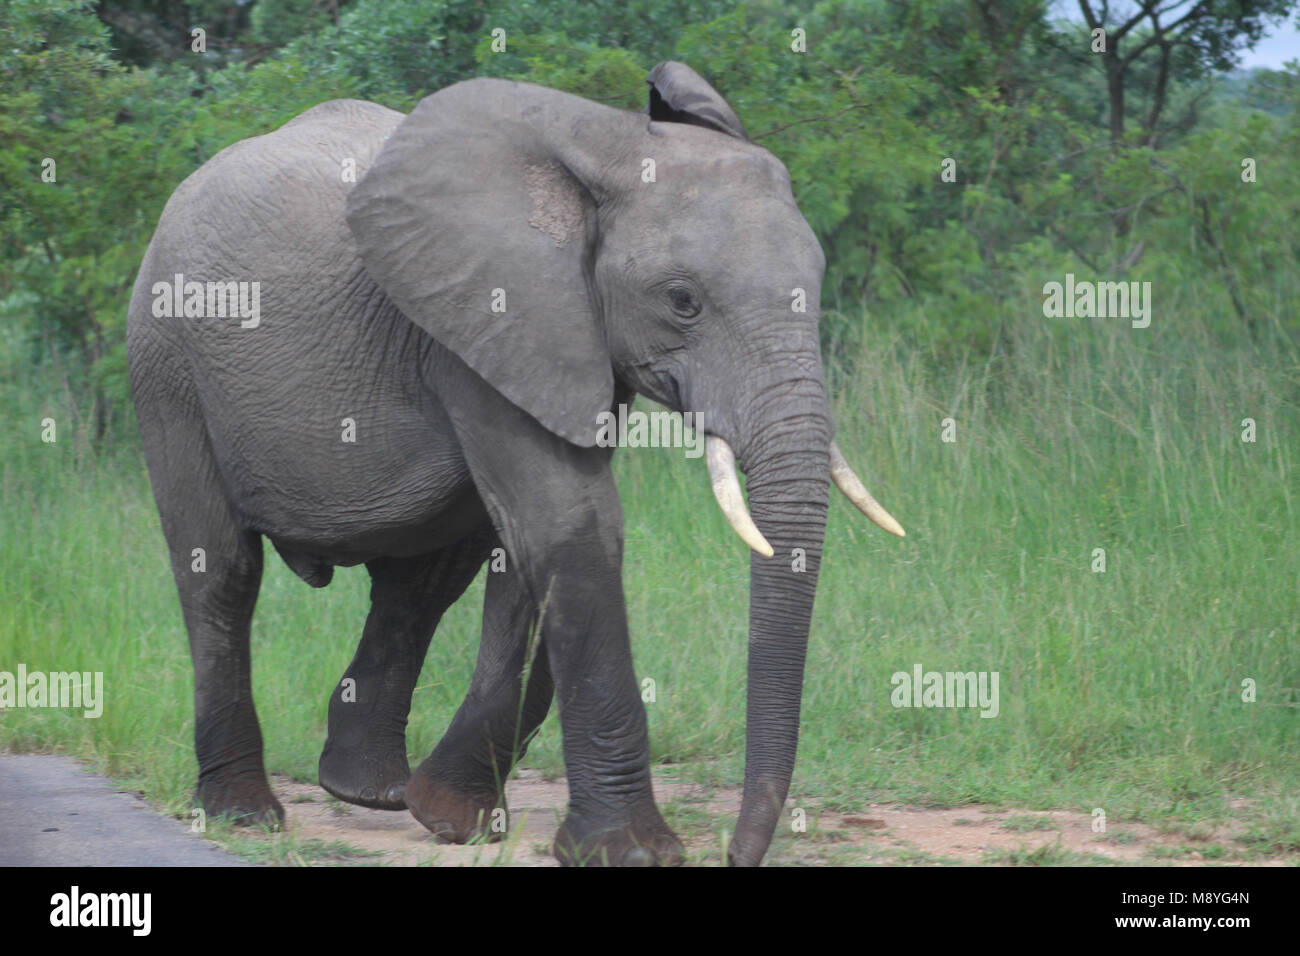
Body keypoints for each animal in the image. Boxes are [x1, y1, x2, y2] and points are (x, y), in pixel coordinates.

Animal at [129, 59, 904, 868]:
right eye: (682, 300)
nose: (735, 854)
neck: (612, 146)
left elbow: (535, 550)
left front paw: (452, 817)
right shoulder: (486, 311)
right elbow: (572, 526)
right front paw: (630, 852)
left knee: (425, 580)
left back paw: (369, 792)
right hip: (167, 362)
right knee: (221, 573)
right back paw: (244, 814)